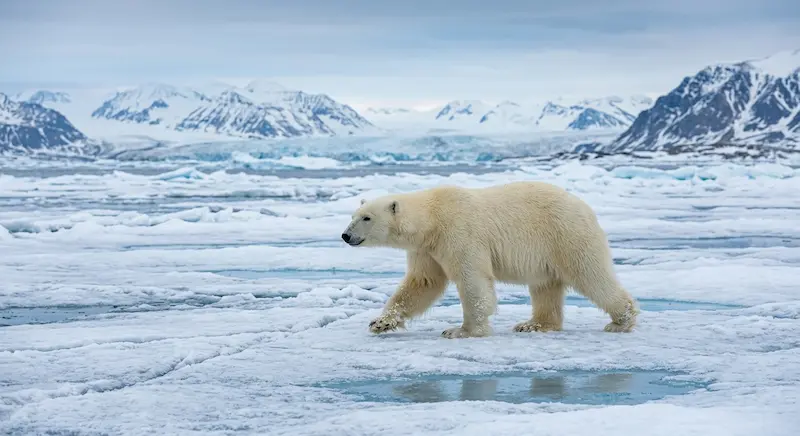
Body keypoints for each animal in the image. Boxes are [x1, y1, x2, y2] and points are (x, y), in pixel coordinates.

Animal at [341, 181, 639, 339]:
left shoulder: (459, 233)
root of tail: (586, 208)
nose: (345, 235)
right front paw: (380, 322)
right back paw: (533, 324)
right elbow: (422, 283)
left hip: (566, 236)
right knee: (545, 286)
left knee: (591, 275)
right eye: (353, 215)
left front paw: (461, 330)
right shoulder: (427, 249)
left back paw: (621, 320)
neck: (433, 218)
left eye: (367, 218)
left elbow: (472, 280)